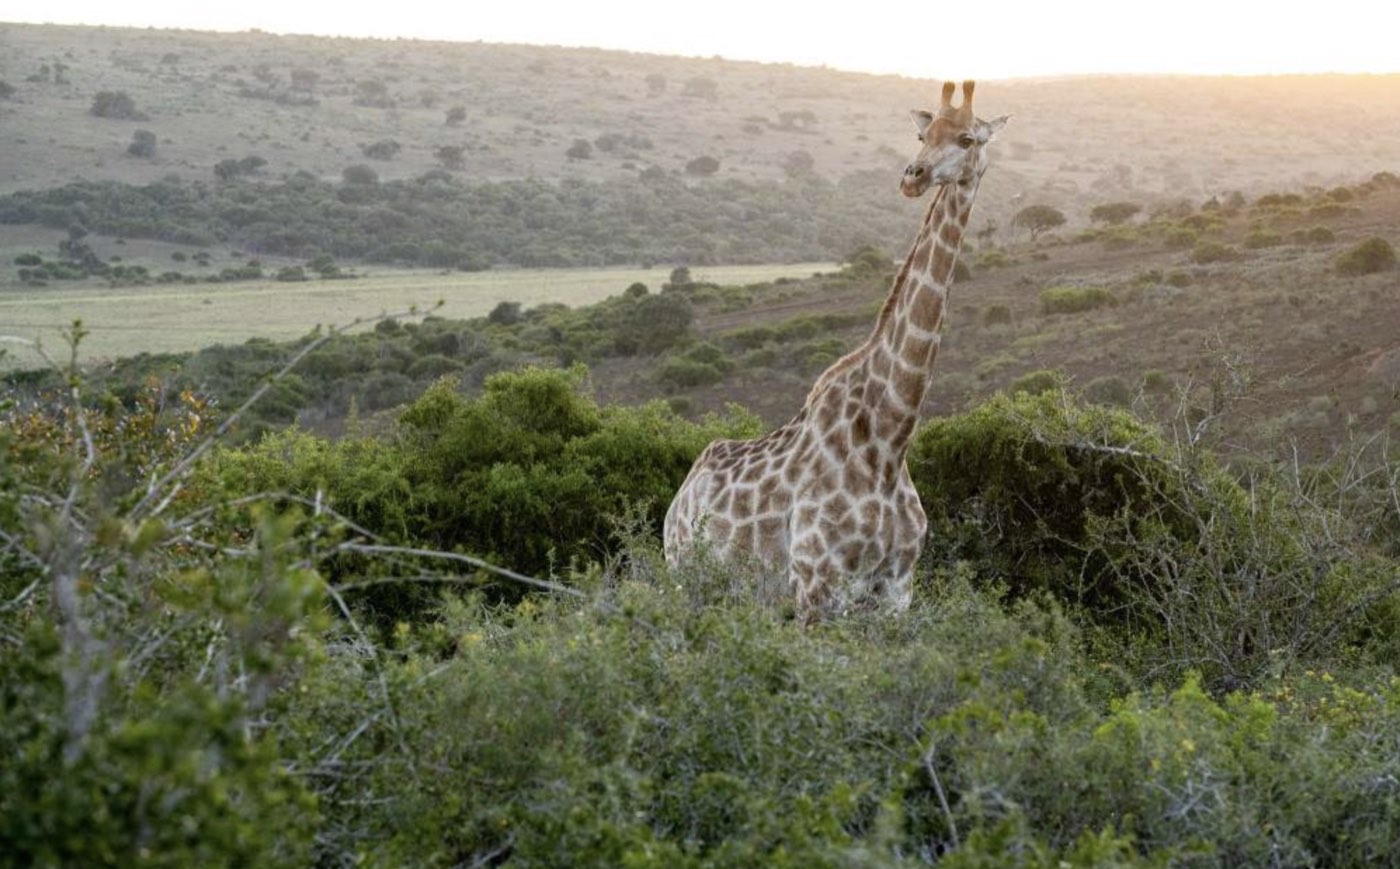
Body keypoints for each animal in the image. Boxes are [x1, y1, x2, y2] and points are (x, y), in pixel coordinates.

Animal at [664, 81, 1009, 620]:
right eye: (922, 134)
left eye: (968, 139)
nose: (913, 177)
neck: (889, 439)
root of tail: (676, 501)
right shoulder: (816, 584)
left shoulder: (896, 590)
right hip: (685, 576)